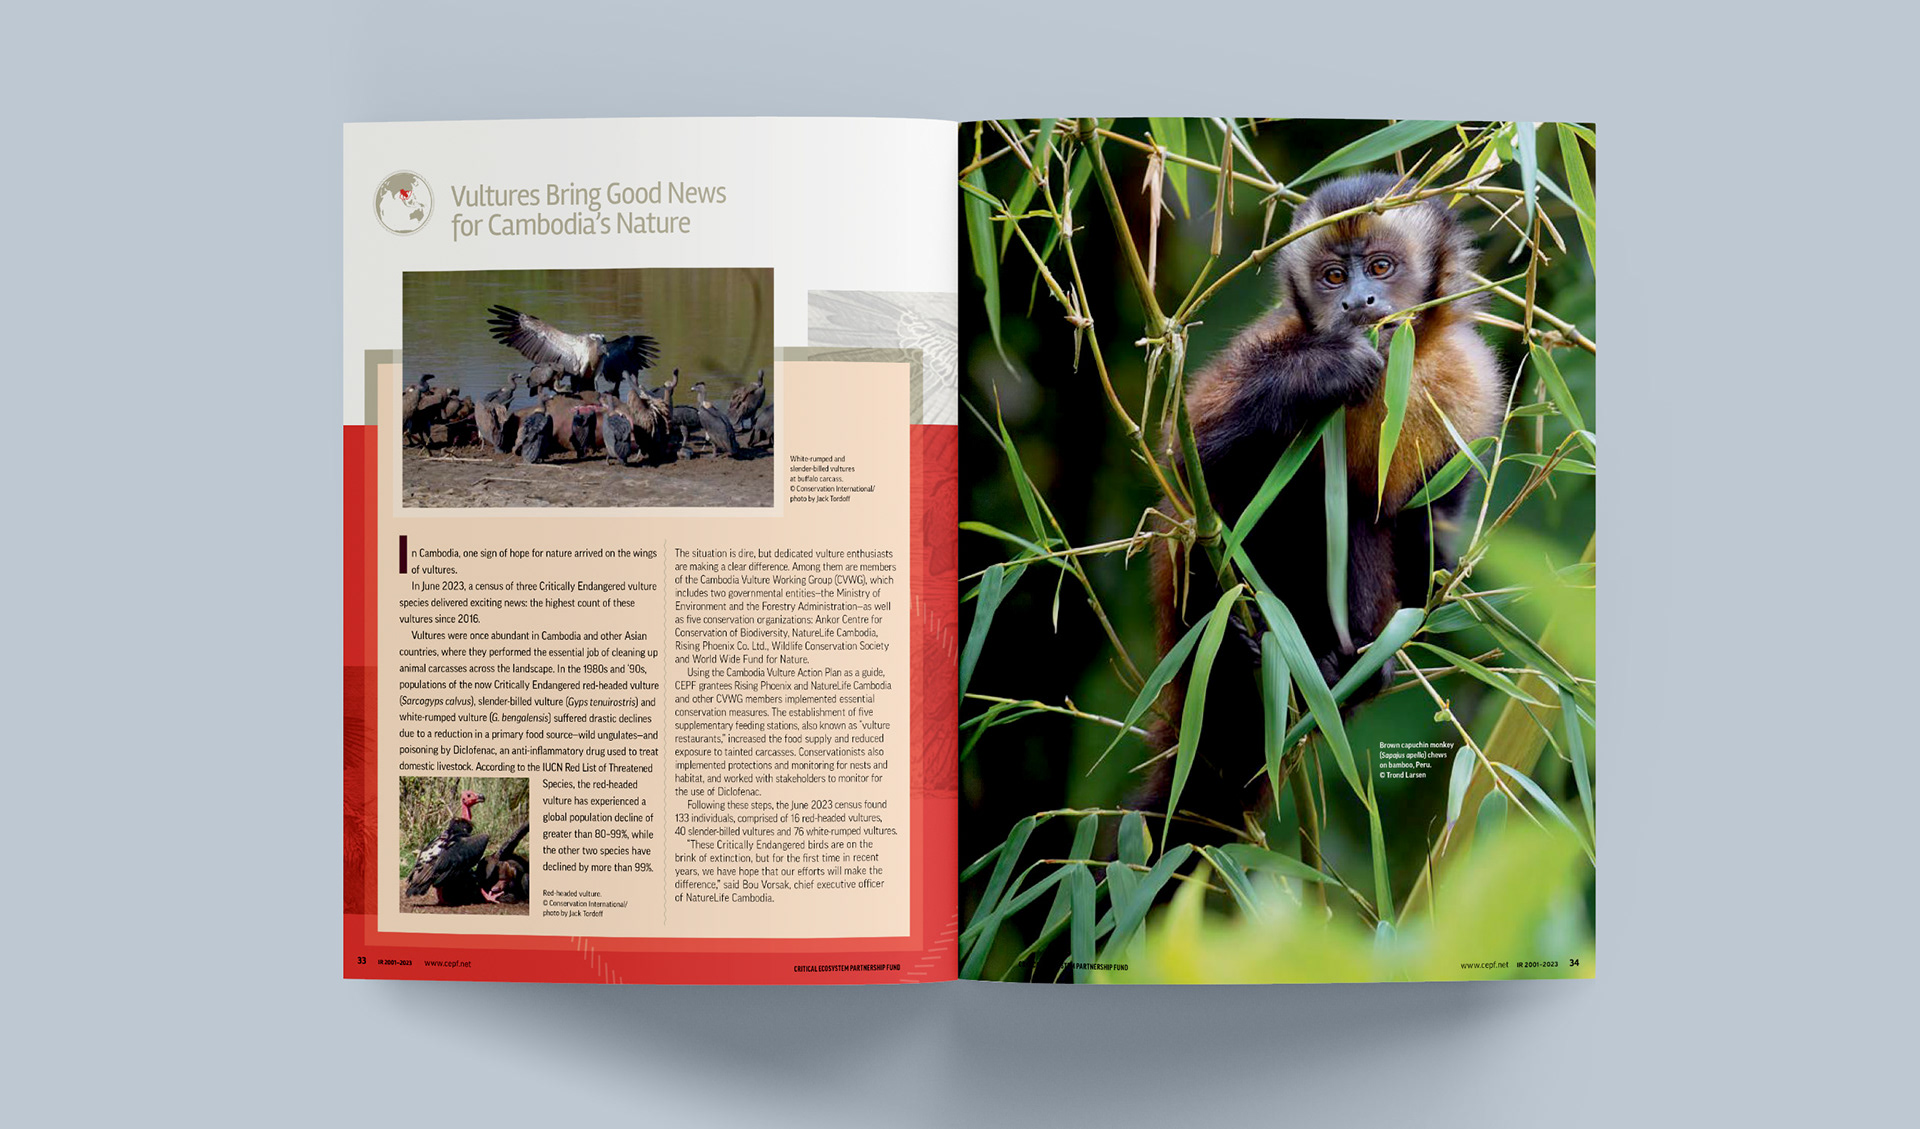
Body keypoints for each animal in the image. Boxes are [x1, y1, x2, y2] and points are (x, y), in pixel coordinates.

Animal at [1138, 171, 1506, 835]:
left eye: (1381, 267)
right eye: (1334, 277)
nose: (1358, 303)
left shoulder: (1470, 381)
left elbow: (1432, 533)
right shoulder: (1275, 336)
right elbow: (1189, 470)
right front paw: (1321, 375)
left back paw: (1341, 672)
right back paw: (1241, 651)